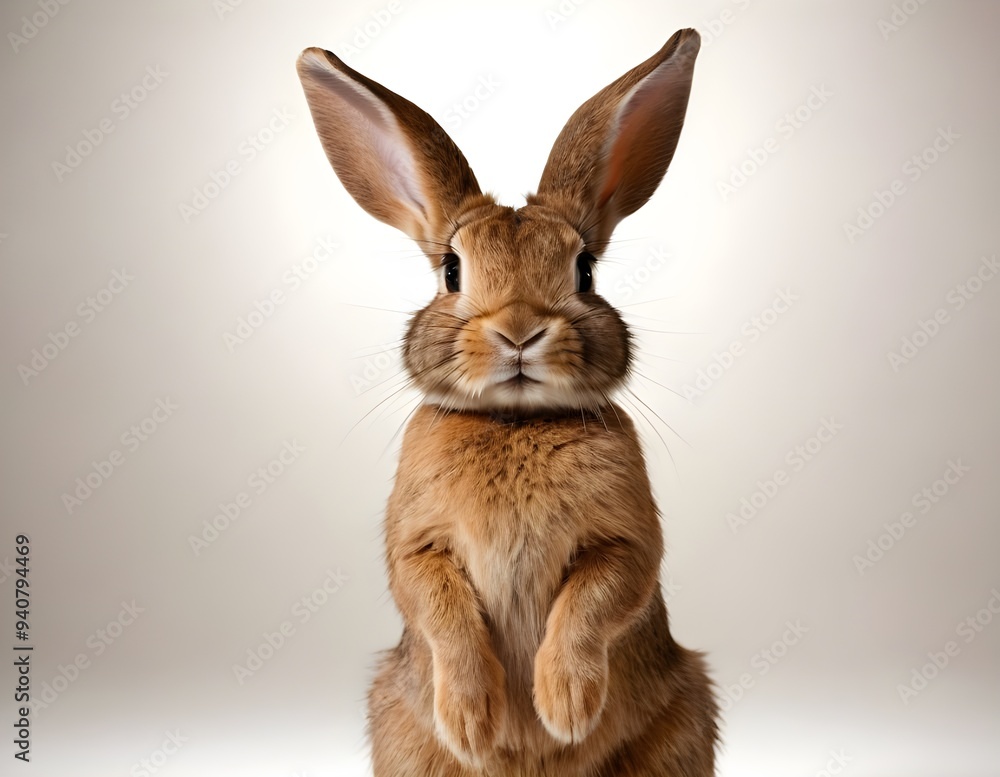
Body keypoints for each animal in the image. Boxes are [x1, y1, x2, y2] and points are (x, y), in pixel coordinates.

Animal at [297, 27, 717, 776]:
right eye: (451, 270)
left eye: (585, 271)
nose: (519, 331)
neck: (514, 421)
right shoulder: (418, 545)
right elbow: (438, 607)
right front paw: (472, 720)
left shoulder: (626, 541)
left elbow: (598, 599)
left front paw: (565, 707)